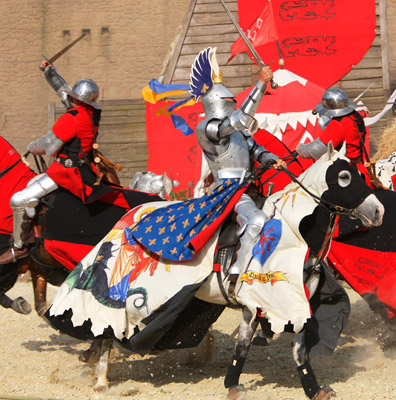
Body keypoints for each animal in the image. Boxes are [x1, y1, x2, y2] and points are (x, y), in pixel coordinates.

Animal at [44, 144, 382, 400]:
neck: (294, 233)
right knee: (105, 327)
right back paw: (101, 377)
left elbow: (294, 349)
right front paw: (233, 386)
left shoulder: (291, 304)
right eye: (343, 176)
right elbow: (248, 345)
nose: (378, 211)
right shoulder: (257, 303)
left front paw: (313, 390)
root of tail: (131, 213)